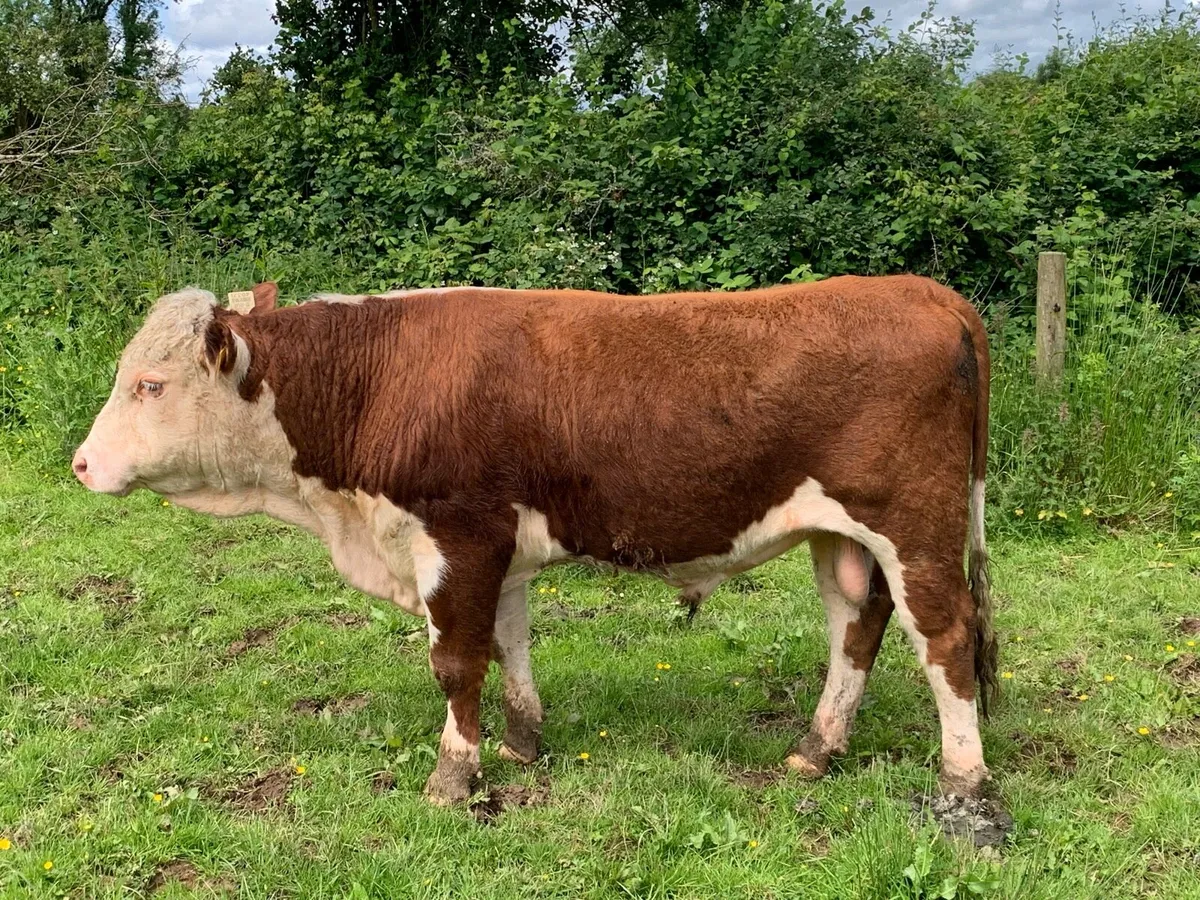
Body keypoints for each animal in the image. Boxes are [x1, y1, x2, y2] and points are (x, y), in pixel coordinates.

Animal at [72, 275, 998, 806]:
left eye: (149, 384)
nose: (81, 464)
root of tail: (926, 291)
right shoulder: (499, 548)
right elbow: (507, 643)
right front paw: (521, 742)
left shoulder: (458, 533)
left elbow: (456, 661)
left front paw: (455, 774)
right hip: (843, 537)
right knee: (856, 628)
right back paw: (815, 749)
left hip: (915, 523)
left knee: (945, 637)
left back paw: (966, 788)